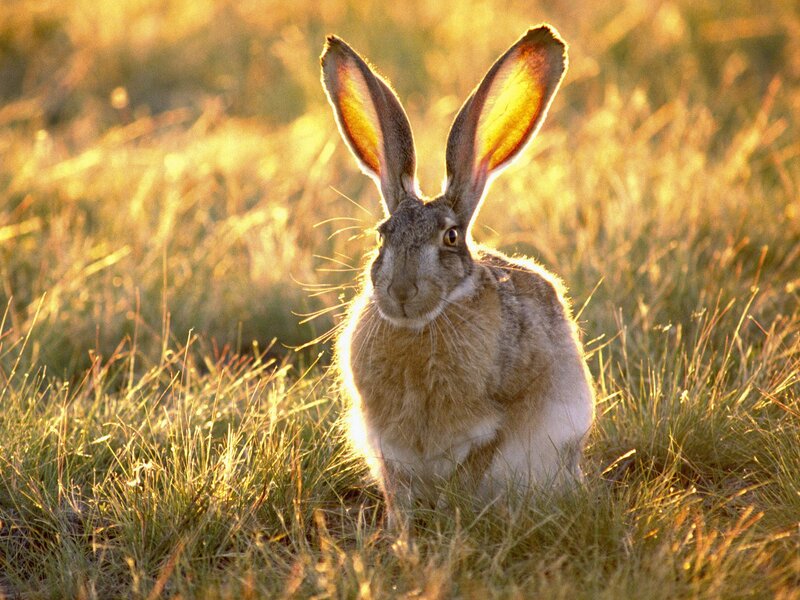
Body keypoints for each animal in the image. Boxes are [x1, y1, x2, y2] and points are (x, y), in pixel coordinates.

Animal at [320, 25, 595, 525]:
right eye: (382, 235)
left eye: (450, 238)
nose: (401, 292)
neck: (421, 327)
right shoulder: (385, 442)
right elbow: (397, 487)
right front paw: (401, 530)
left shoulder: (496, 426)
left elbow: (472, 470)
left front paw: (453, 517)